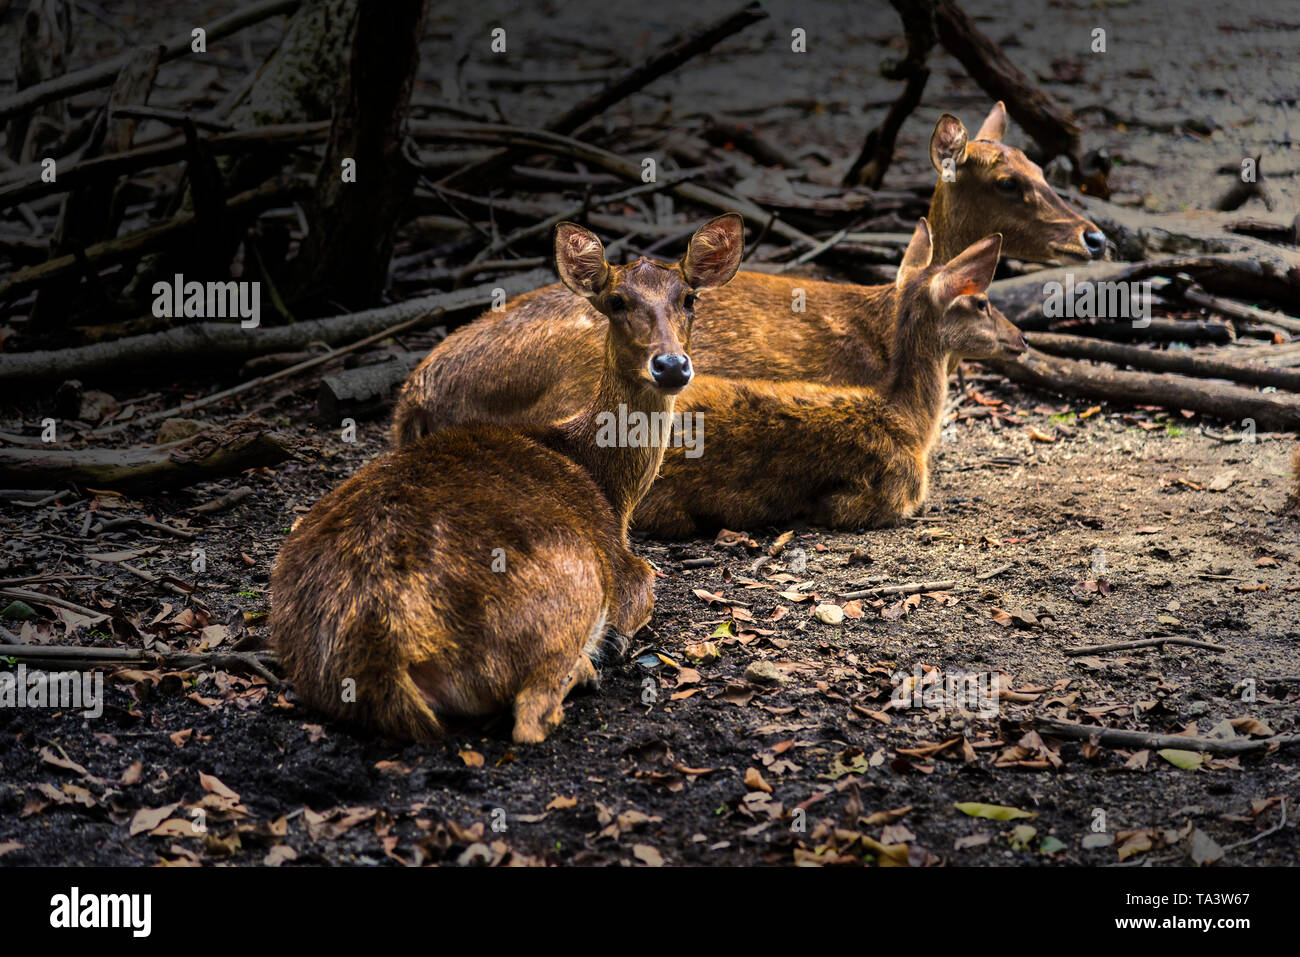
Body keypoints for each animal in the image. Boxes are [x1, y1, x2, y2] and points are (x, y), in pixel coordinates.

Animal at [270, 214, 744, 744]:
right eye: (617, 301)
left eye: (689, 298)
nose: (671, 365)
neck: (611, 488)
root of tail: (386, 653)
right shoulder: (628, 571)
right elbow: (645, 584)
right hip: (571, 578)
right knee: (533, 715)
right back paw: (590, 663)